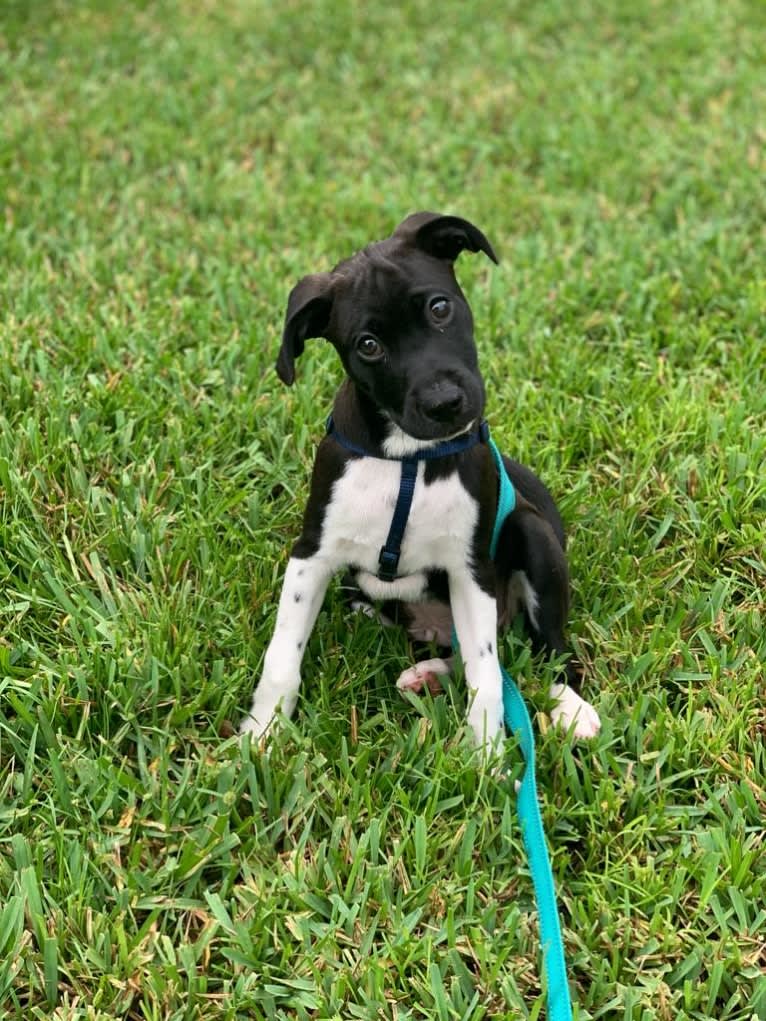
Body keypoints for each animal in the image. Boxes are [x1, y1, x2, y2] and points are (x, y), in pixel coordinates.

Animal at [243, 211, 604, 751]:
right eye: (368, 346)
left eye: (439, 308)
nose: (444, 403)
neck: (407, 461)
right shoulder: (312, 555)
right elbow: (282, 657)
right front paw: (261, 735)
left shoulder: (469, 569)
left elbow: (486, 676)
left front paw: (485, 755)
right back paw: (428, 672)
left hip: (532, 534)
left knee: (547, 647)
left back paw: (567, 703)